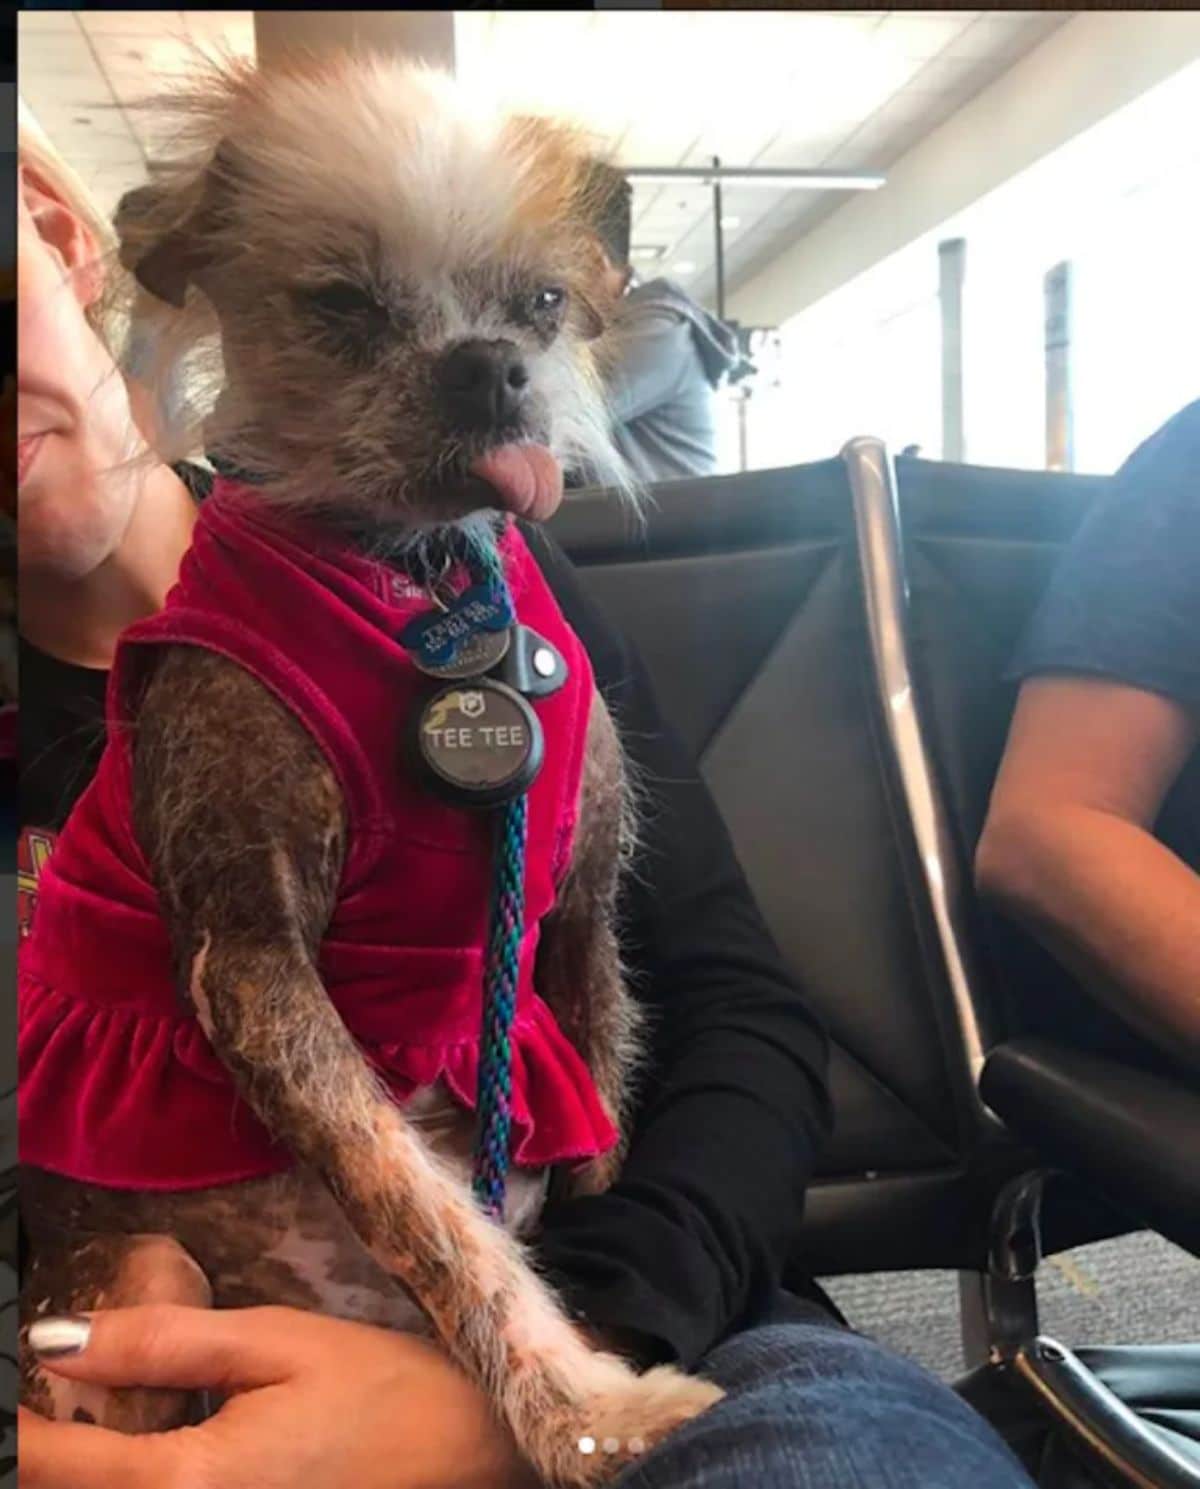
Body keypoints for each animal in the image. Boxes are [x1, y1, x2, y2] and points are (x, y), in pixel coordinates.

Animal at [18, 52, 723, 1483]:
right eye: (341, 306)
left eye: (543, 302)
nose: (492, 368)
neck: (420, 577)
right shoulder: (254, 971)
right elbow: (435, 1222)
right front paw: (586, 1411)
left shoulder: (578, 919)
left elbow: (603, 1106)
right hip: (143, 1277)